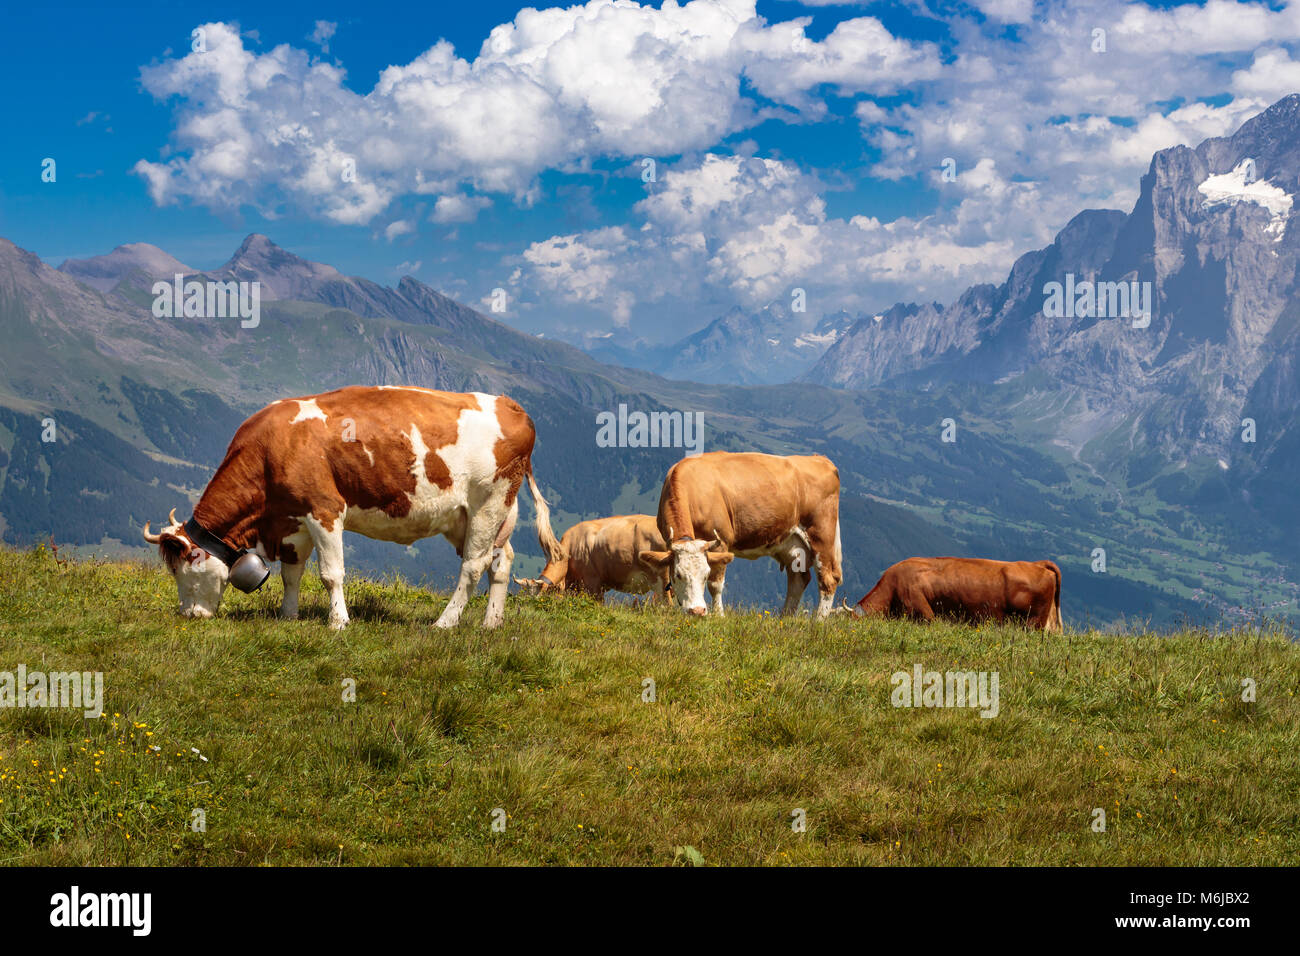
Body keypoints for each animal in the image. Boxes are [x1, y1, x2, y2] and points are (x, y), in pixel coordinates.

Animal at [142, 385, 564, 632]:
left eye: (183, 569)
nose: (189, 615)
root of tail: (511, 406)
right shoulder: (292, 519)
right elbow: (291, 574)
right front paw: (288, 615)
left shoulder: (325, 509)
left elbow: (331, 574)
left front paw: (338, 622)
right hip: (480, 515)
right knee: (501, 561)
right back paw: (491, 624)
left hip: (489, 503)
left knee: (473, 566)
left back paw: (444, 623)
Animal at [637, 450, 842, 616]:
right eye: (678, 575)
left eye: (705, 574)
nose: (697, 611)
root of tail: (820, 459)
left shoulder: (720, 542)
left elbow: (715, 585)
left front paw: (718, 616)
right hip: (791, 541)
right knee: (798, 578)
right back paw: (786, 620)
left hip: (822, 533)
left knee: (828, 579)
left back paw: (817, 622)